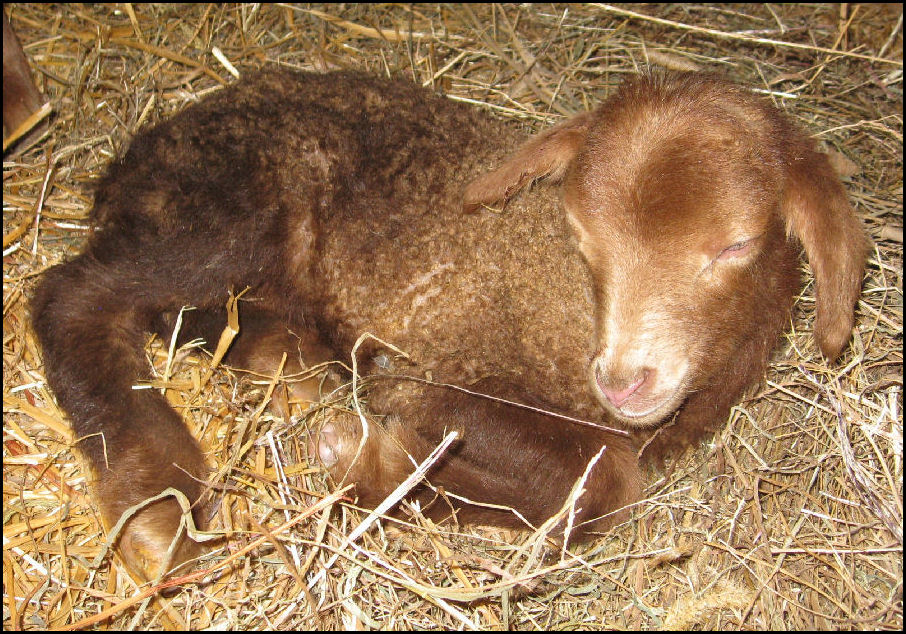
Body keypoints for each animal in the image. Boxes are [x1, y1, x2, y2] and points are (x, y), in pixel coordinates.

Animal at [31, 68, 867, 580]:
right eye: (579, 232)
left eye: (736, 244)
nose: (625, 381)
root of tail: (134, 151)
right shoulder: (441, 368)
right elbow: (606, 478)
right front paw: (363, 459)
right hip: (228, 205)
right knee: (73, 295)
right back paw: (158, 505)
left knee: (192, 313)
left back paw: (291, 368)